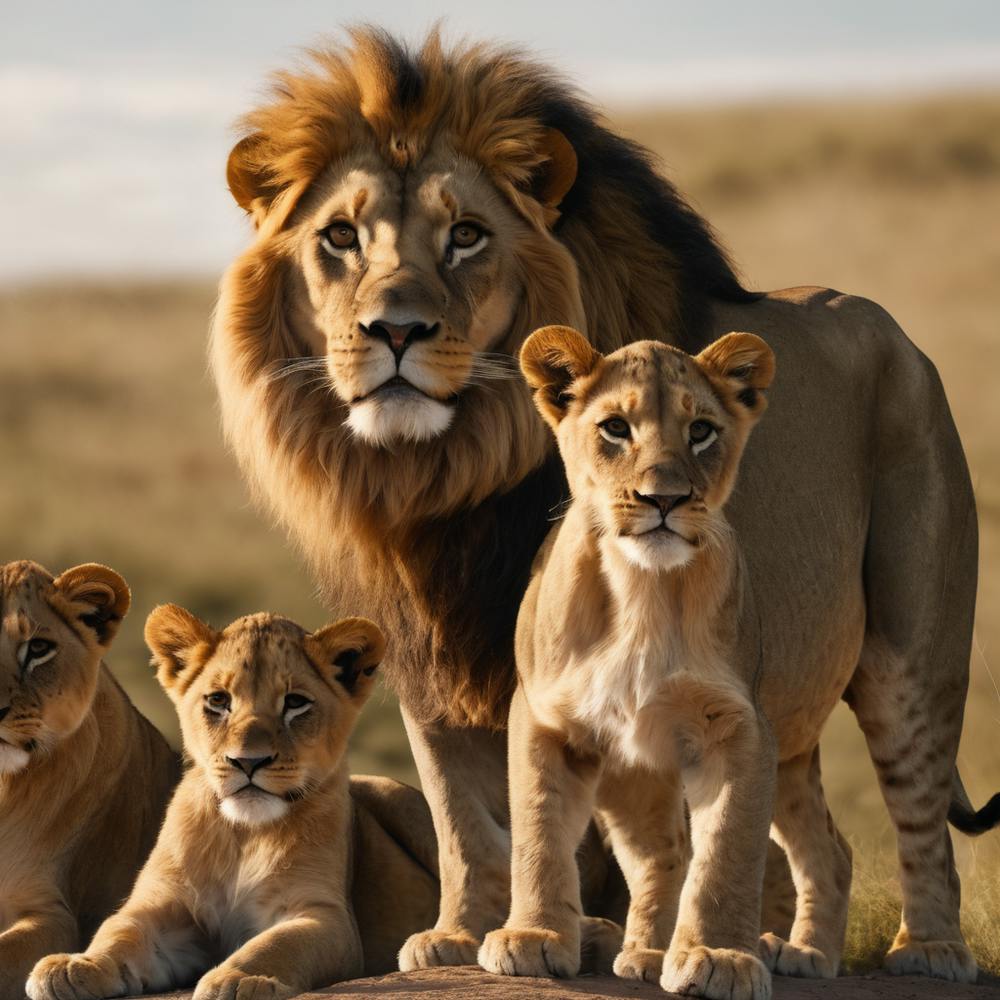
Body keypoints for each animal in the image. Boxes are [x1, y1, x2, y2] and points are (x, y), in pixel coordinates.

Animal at [27, 606, 440, 1000]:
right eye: (218, 700)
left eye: (295, 703)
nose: (248, 761)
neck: (243, 836)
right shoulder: (162, 908)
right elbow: (118, 932)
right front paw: (74, 965)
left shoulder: (325, 914)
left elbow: (275, 944)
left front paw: (239, 978)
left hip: (398, 798)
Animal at [479, 327, 779, 1000]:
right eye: (615, 428)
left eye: (702, 431)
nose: (663, 499)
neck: (646, 590)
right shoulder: (543, 717)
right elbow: (538, 831)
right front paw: (533, 937)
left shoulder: (738, 725)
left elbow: (728, 849)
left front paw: (720, 955)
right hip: (631, 773)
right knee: (657, 853)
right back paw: (643, 949)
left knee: (672, 854)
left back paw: (655, 952)